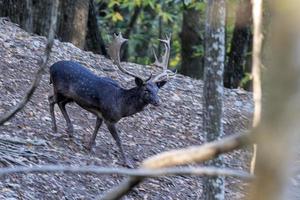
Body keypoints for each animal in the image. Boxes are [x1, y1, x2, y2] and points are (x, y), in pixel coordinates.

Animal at [47, 32, 175, 166]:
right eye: (146, 90)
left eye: (157, 90)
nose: (158, 101)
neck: (121, 105)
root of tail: (51, 67)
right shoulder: (109, 118)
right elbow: (118, 139)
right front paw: (126, 161)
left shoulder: (101, 114)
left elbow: (97, 126)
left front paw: (89, 145)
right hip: (59, 89)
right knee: (51, 99)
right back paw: (55, 128)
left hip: (70, 97)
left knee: (60, 103)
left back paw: (70, 130)